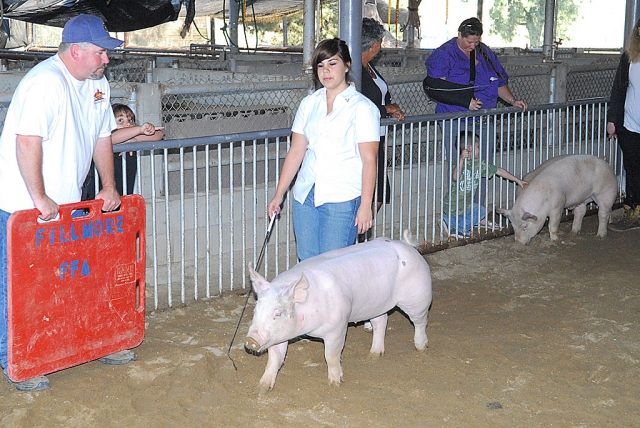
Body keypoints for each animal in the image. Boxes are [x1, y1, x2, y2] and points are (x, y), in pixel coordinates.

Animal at [245, 231, 436, 394]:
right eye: (256, 309)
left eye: (277, 313)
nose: (250, 340)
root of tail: (407, 245)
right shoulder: (277, 335)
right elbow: (274, 359)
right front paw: (261, 389)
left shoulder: (337, 327)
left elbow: (331, 355)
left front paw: (335, 383)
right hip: (377, 303)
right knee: (380, 321)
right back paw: (373, 356)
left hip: (418, 296)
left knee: (420, 321)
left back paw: (421, 348)